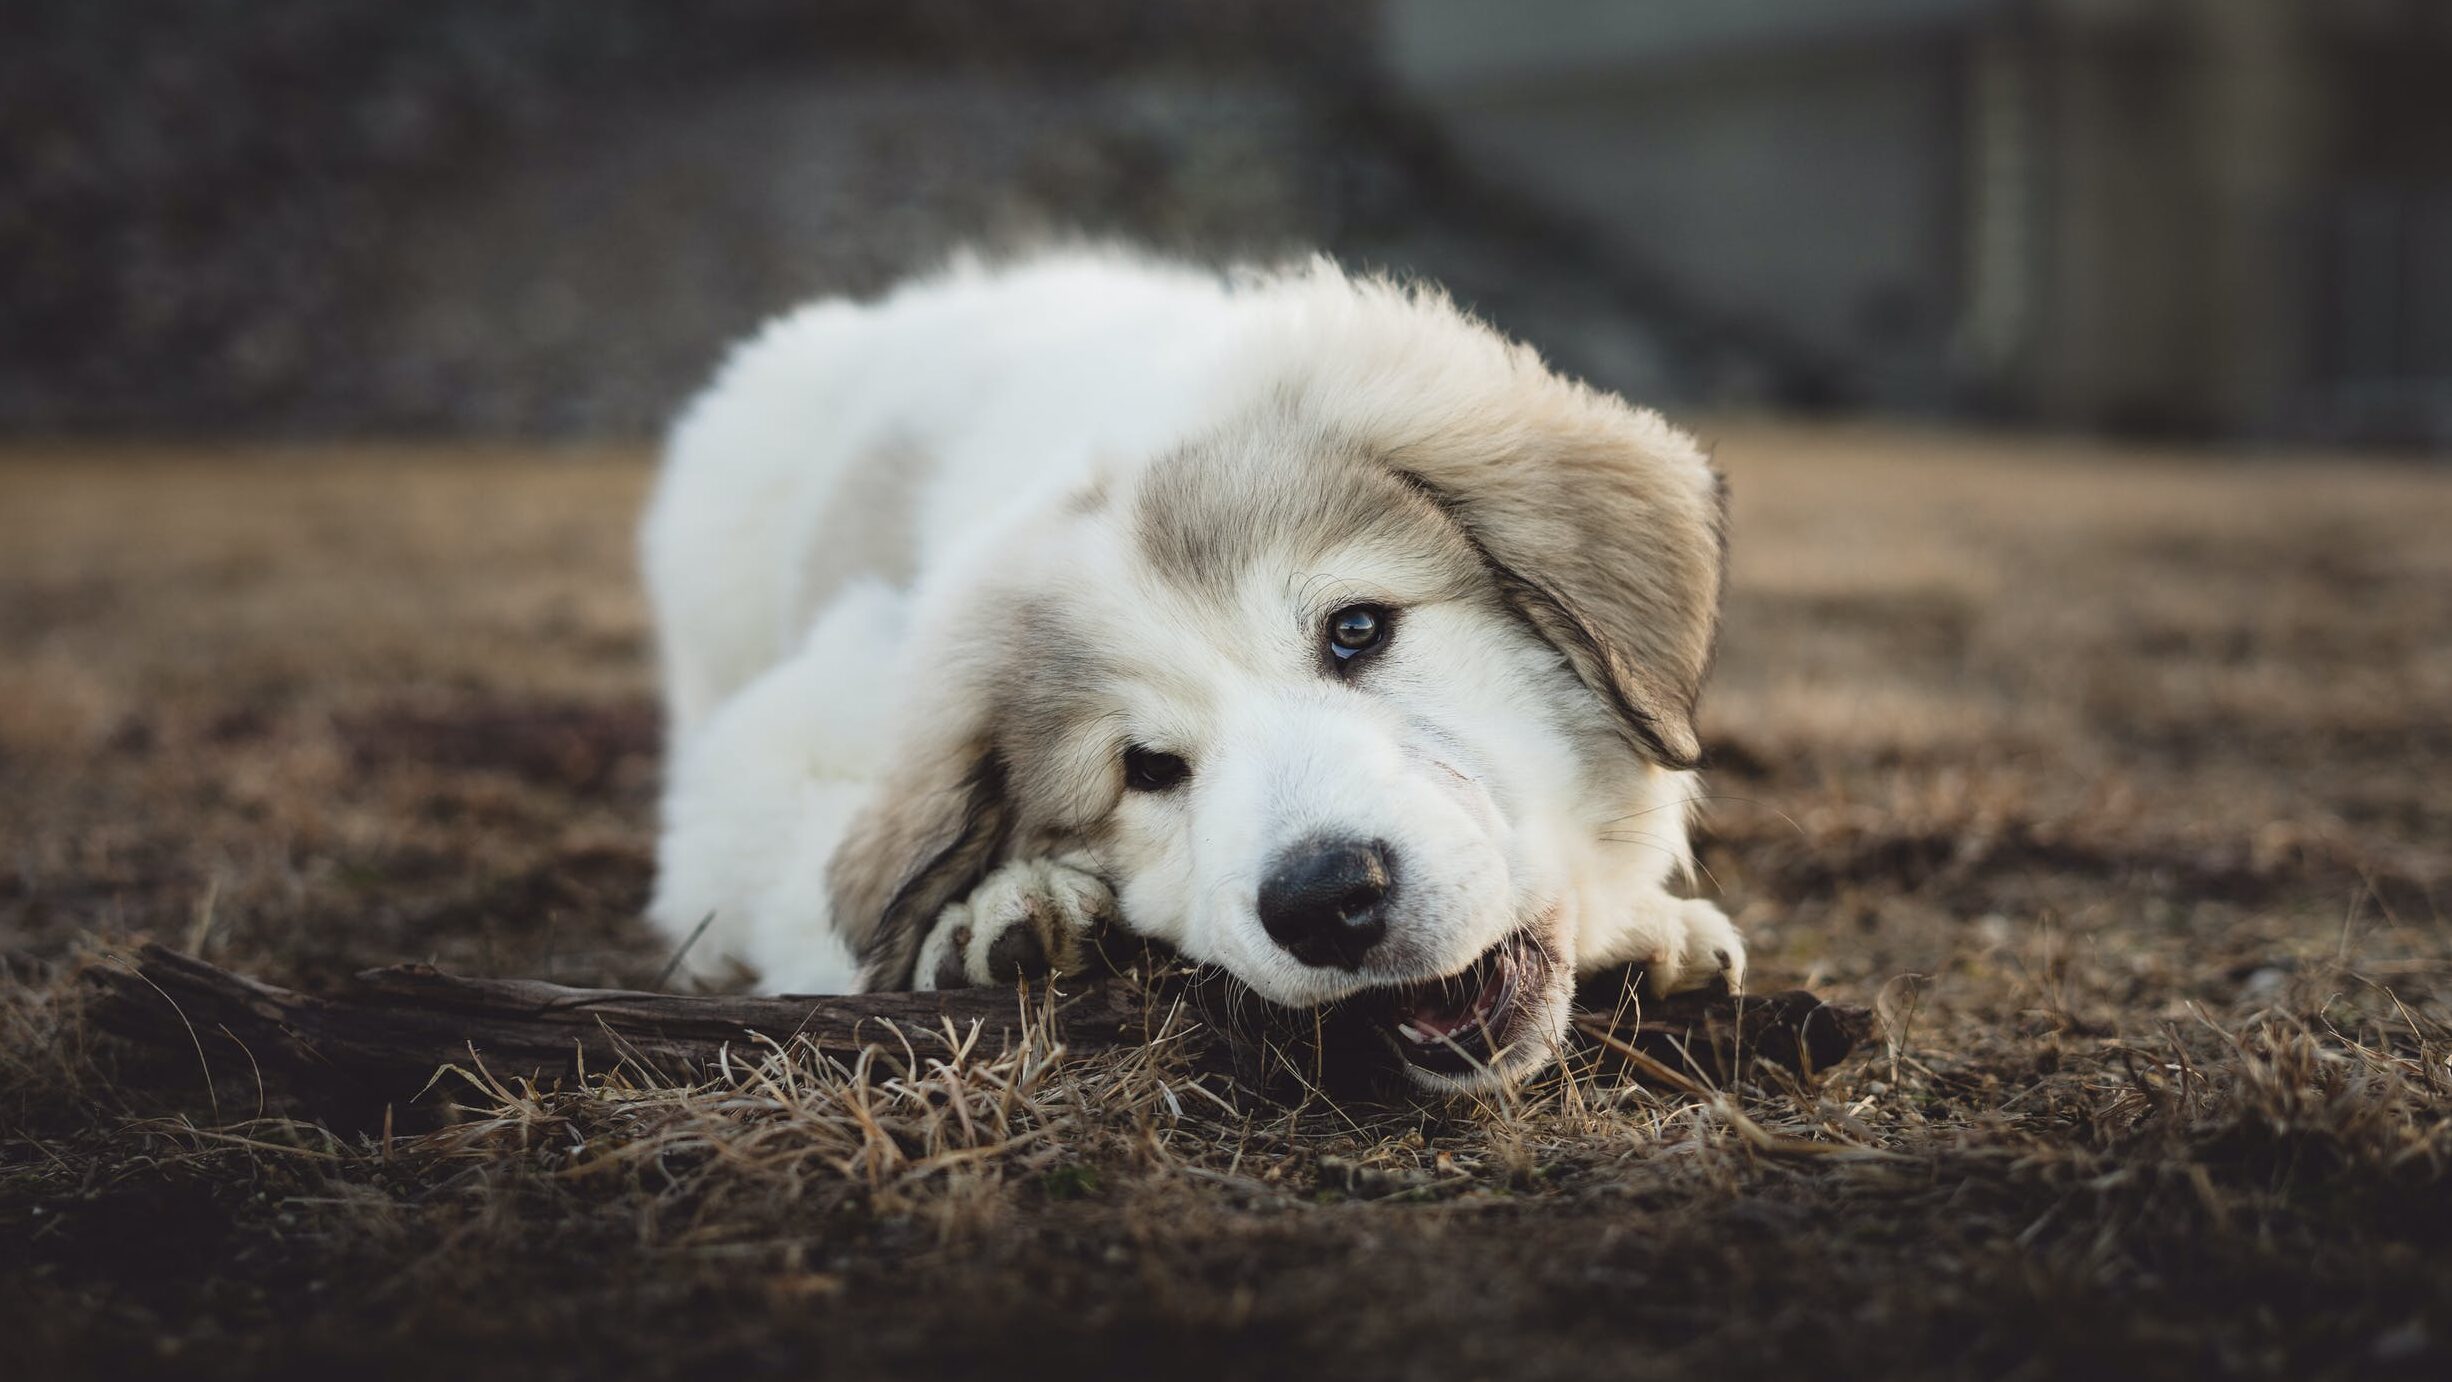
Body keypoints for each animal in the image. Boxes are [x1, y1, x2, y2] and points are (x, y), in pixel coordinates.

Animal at [642, 248, 1736, 1092]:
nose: (1324, 900)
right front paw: (993, 915)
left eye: (1356, 629)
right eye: (1147, 768)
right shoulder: (778, 740)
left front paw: (1653, 926)